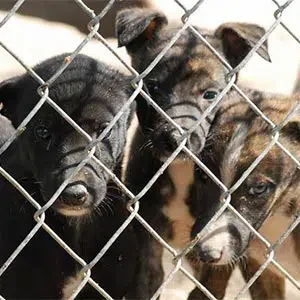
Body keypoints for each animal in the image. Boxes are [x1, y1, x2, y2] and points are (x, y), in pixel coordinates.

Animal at [116, 8, 270, 298]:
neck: (183, 170)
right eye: (152, 89)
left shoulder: (216, 244)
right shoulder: (146, 236)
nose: (175, 139)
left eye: (210, 94)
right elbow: (147, 280)